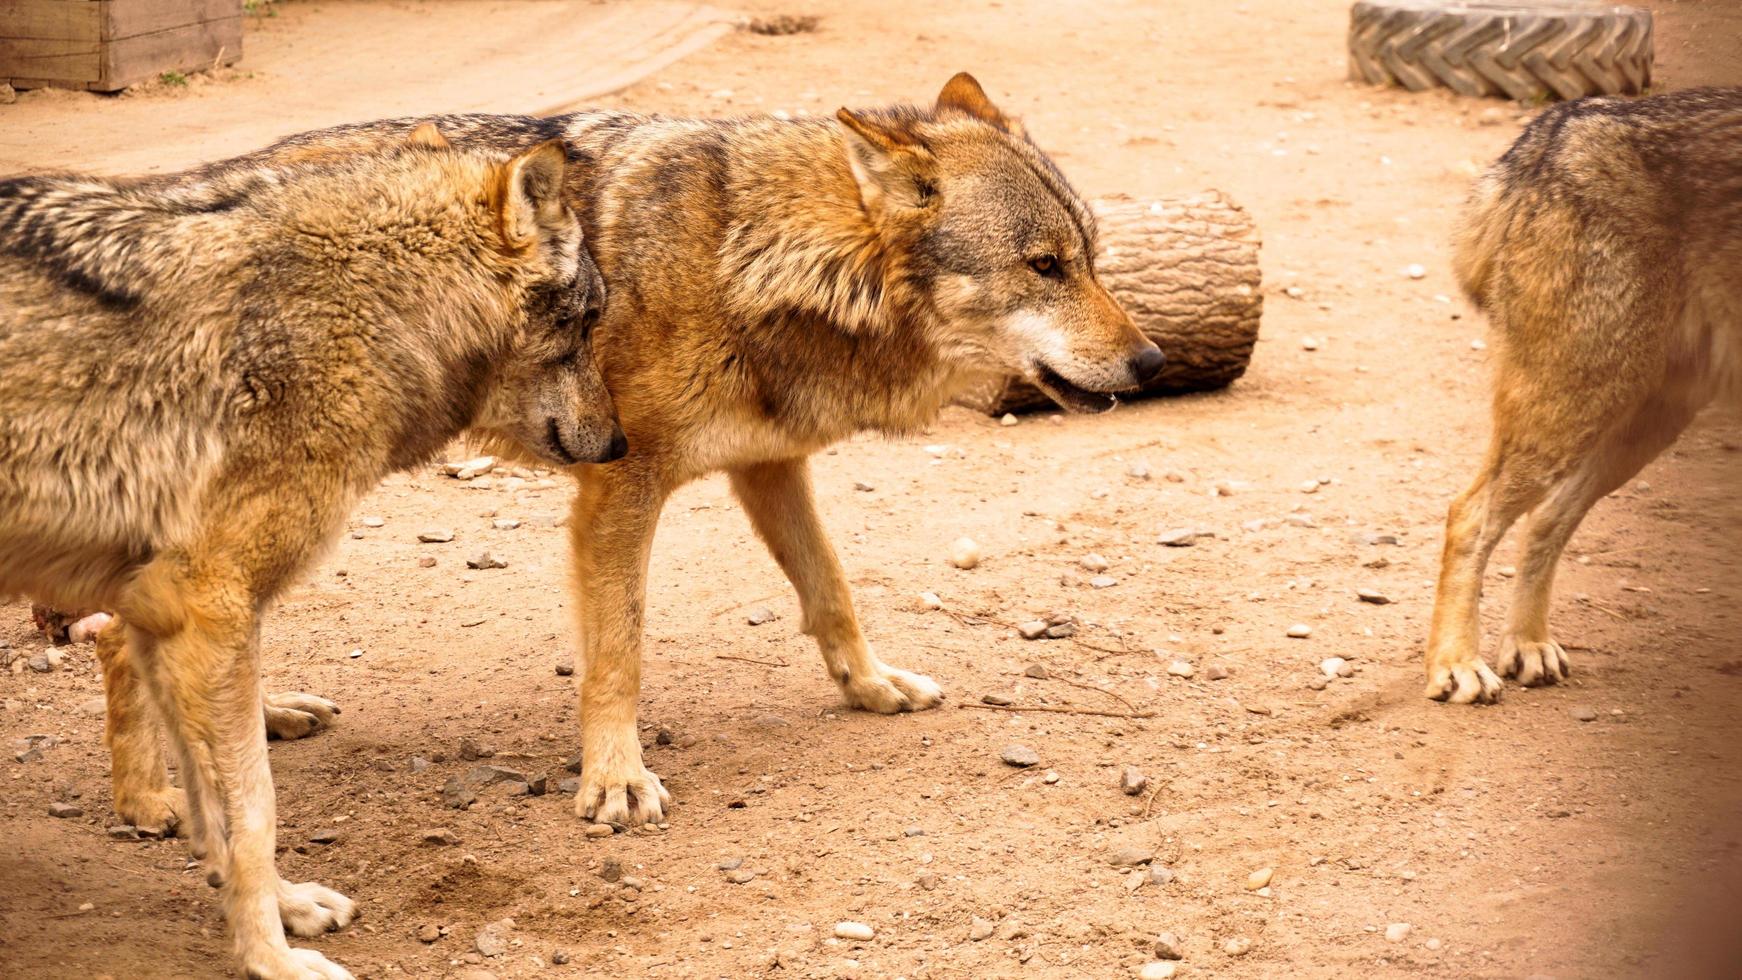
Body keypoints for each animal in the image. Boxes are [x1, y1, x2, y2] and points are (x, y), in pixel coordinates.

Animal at [0, 126, 623, 974]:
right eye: (587, 323)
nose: (620, 442)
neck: (378, 306)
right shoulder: (209, 613)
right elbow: (255, 810)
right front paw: (272, 958)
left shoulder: (163, 615)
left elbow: (219, 813)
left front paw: (287, 908)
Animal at [91, 72, 1156, 832]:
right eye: (1044, 266)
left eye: (1093, 258)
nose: (1150, 362)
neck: (746, 254)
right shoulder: (621, 487)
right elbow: (620, 651)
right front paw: (614, 783)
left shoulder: (769, 463)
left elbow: (832, 590)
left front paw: (872, 688)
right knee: (118, 628)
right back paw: (148, 803)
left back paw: (258, 722)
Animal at [1421, 86, 1735, 706]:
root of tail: (1555, 125)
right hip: (1575, 407)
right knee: (1469, 514)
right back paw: (1457, 664)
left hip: (1640, 424)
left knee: (1545, 520)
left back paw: (1527, 644)